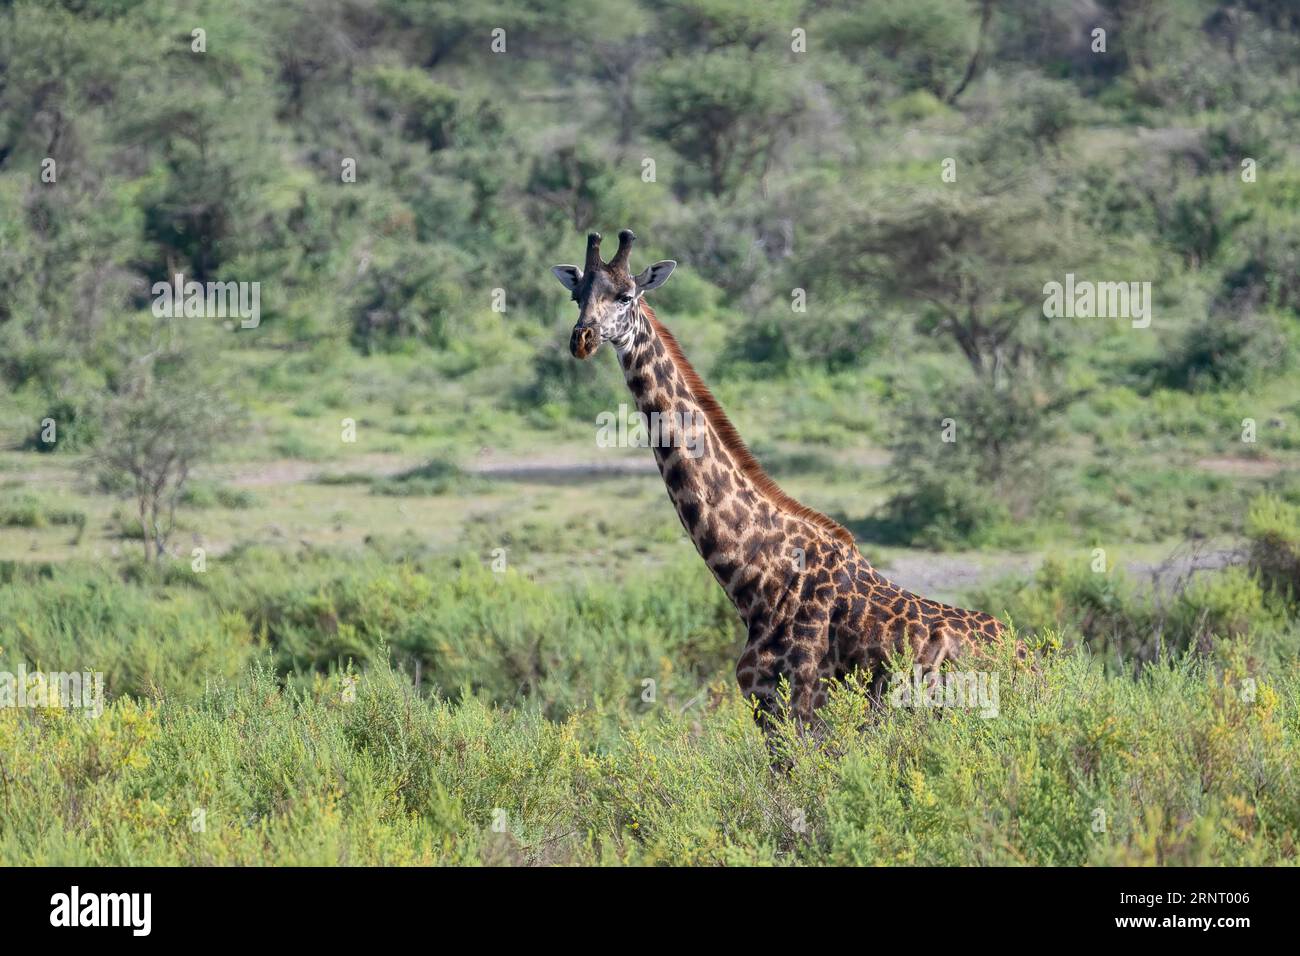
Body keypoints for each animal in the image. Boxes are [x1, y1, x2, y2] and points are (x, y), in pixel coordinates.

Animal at [551, 231, 1013, 738]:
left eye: (626, 295)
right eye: (577, 295)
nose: (582, 339)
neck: (757, 577)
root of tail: (1032, 658)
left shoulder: (799, 710)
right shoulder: (768, 709)